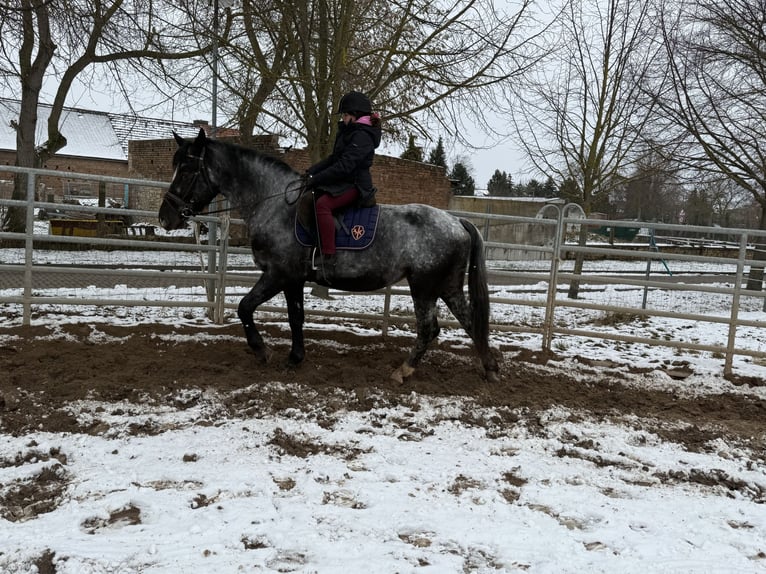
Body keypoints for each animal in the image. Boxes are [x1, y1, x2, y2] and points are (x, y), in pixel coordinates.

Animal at [159, 128, 500, 384]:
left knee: (430, 329)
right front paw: (295, 358)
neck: (274, 205)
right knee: (470, 322)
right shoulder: (293, 279)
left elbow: (245, 307)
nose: (165, 218)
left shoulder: (278, 274)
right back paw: (489, 368)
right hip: (447, 286)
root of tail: (457, 221)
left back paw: (403, 371)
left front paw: (262, 351)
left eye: (187, 170)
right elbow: (295, 317)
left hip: (425, 287)